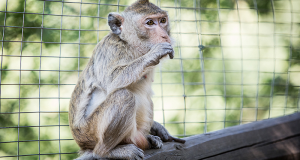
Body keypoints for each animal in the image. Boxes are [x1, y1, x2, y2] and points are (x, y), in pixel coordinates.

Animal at [68, 0, 185, 159]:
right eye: (150, 22)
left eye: (162, 21)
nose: (164, 36)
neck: (132, 47)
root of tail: (83, 145)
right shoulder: (112, 48)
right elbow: (111, 80)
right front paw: (153, 54)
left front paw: (157, 127)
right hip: (90, 132)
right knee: (123, 95)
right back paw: (107, 151)